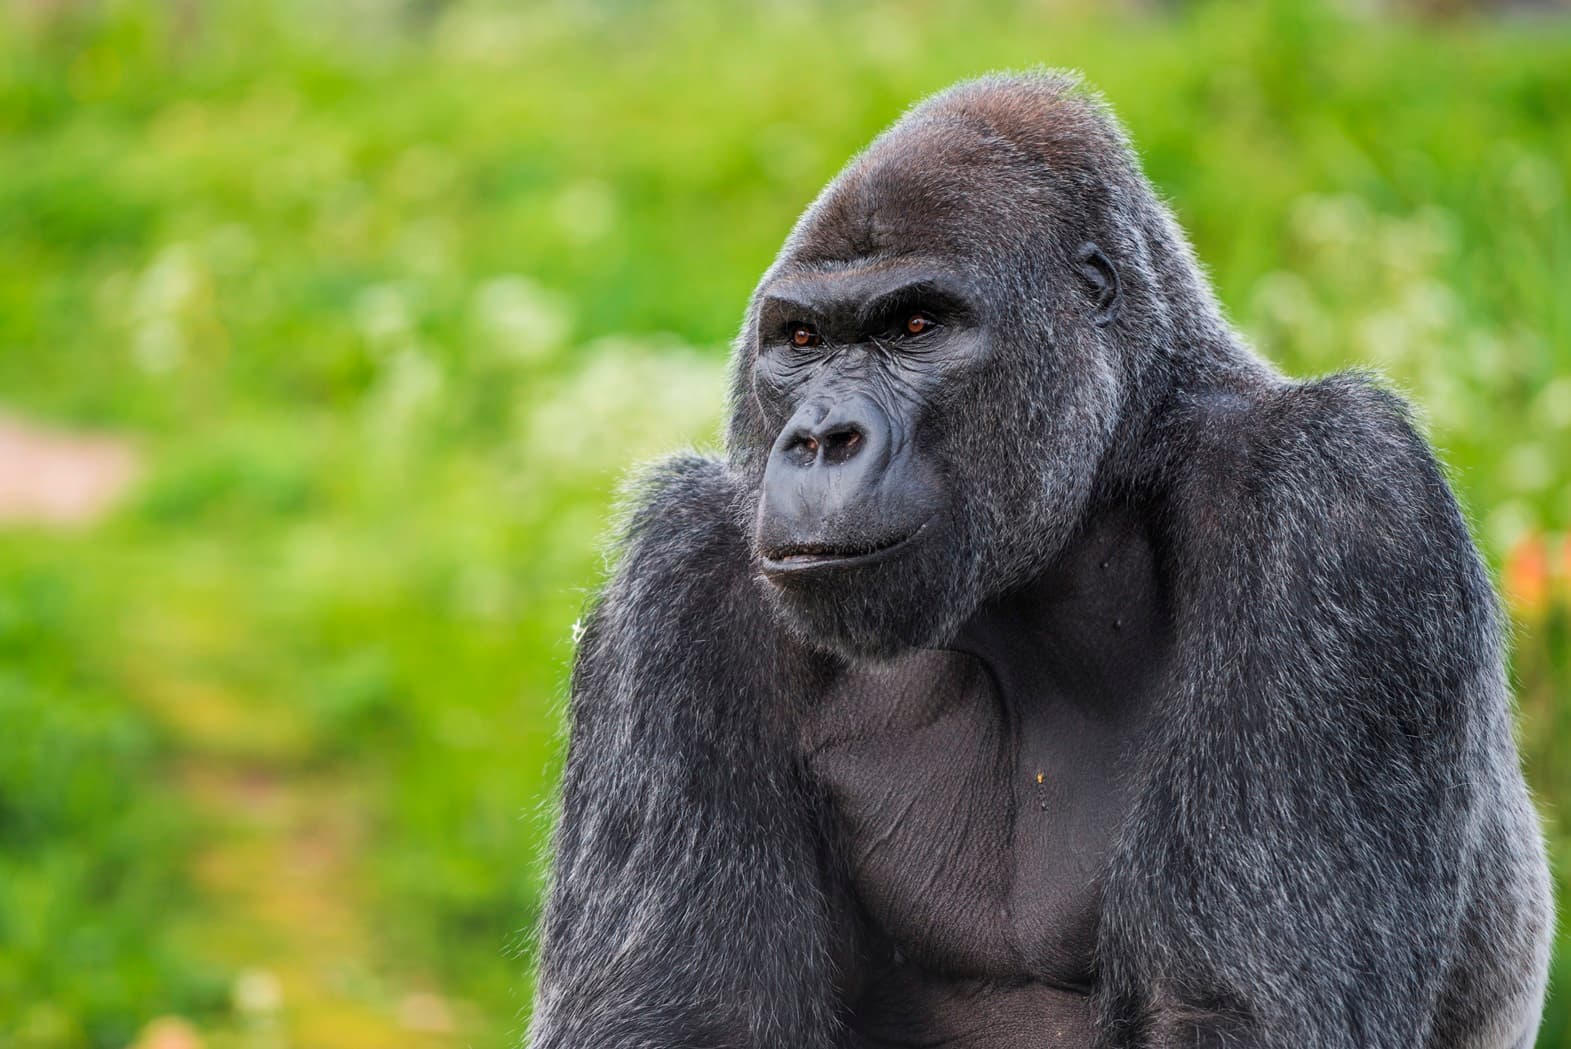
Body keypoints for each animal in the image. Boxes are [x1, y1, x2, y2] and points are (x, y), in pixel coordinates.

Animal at [527, 72, 1552, 1049]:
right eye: (803, 341)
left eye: (915, 327)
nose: (821, 438)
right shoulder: (684, 573)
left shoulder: (1340, 500)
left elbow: (1239, 1011)